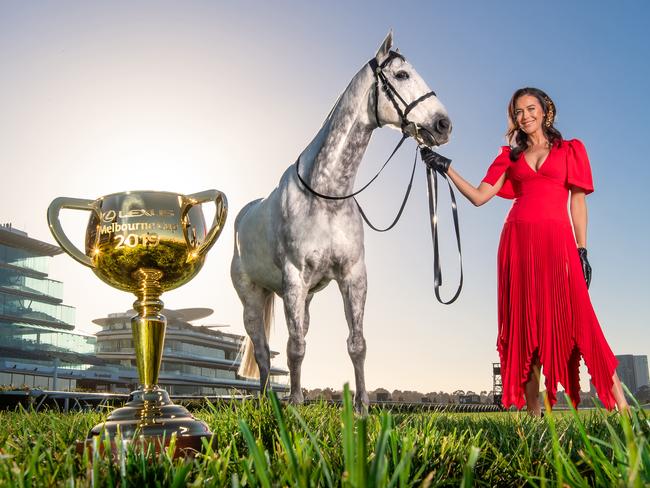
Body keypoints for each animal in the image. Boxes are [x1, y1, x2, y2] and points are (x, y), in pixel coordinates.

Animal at [230, 32, 448, 410]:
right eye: (402, 74)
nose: (444, 124)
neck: (326, 194)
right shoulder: (294, 278)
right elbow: (295, 348)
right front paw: (295, 405)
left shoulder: (353, 276)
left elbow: (356, 344)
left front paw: (361, 407)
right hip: (253, 298)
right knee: (262, 351)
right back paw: (267, 402)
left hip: (304, 298)